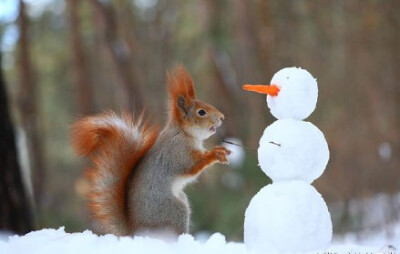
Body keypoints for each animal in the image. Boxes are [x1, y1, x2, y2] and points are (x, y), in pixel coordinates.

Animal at [70, 65, 230, 236]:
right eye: (201, 112)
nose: (222, 117)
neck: (183, 133)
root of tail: (136, 231)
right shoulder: (177, 152)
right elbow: (191, 166)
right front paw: (215, 153)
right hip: (174, 211)